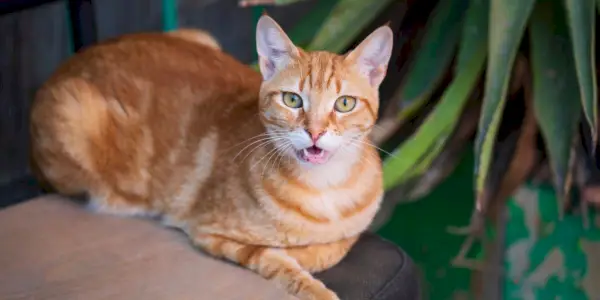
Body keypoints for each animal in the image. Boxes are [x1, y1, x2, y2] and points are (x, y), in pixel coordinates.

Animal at [29, 15, 394, 298]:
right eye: (292, 100)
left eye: (344, 103)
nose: (315, 132)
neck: (325, 188)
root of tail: (73, 59)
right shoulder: (211, 233)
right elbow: (278, 259)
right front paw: (312, 281)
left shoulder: (353, 230)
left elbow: (334, 247)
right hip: (74, 116)